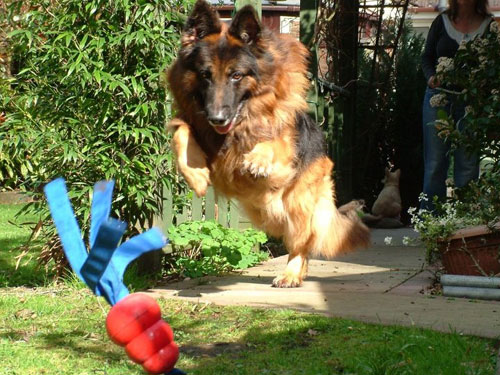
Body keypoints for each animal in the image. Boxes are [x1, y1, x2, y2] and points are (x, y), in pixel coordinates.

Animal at [166, 0, 370, 288]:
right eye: (205, 75)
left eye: (236, 75)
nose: (217, 118)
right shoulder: (192, 120)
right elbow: (181, 132)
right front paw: (195, 174)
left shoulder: (283, 141)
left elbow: (274, 133)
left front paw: (258, 158)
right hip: (263, 212)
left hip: (296, 202)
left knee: (301, 242)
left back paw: (292, 273)